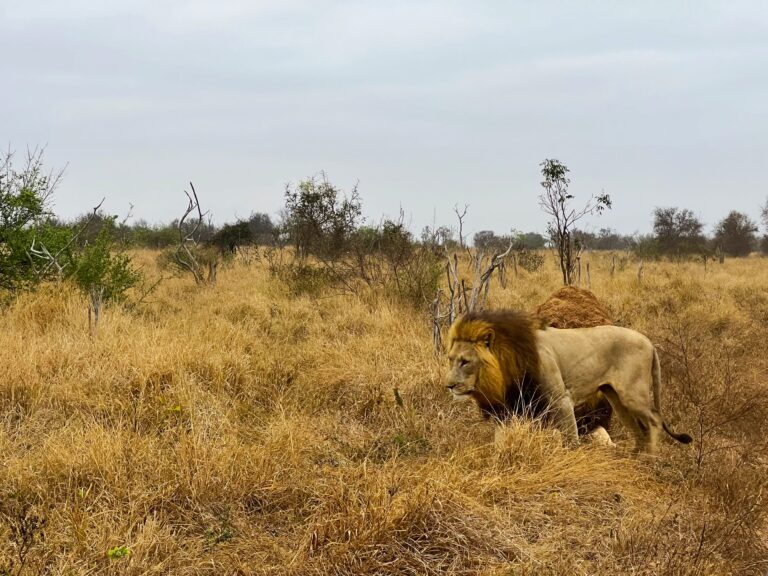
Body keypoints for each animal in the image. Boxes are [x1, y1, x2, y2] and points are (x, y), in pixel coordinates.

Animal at [440, 308, 692, 452]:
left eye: (465, 361)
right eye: (450, 359)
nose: (449, 386)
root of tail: (649, 342)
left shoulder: (561, 400)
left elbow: (571, 439)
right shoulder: (513, 407)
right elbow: (501, 440)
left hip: (632, 394)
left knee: (654, 420)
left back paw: (651, 458)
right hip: (616, 399)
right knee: (637, 426)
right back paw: (634, 458)